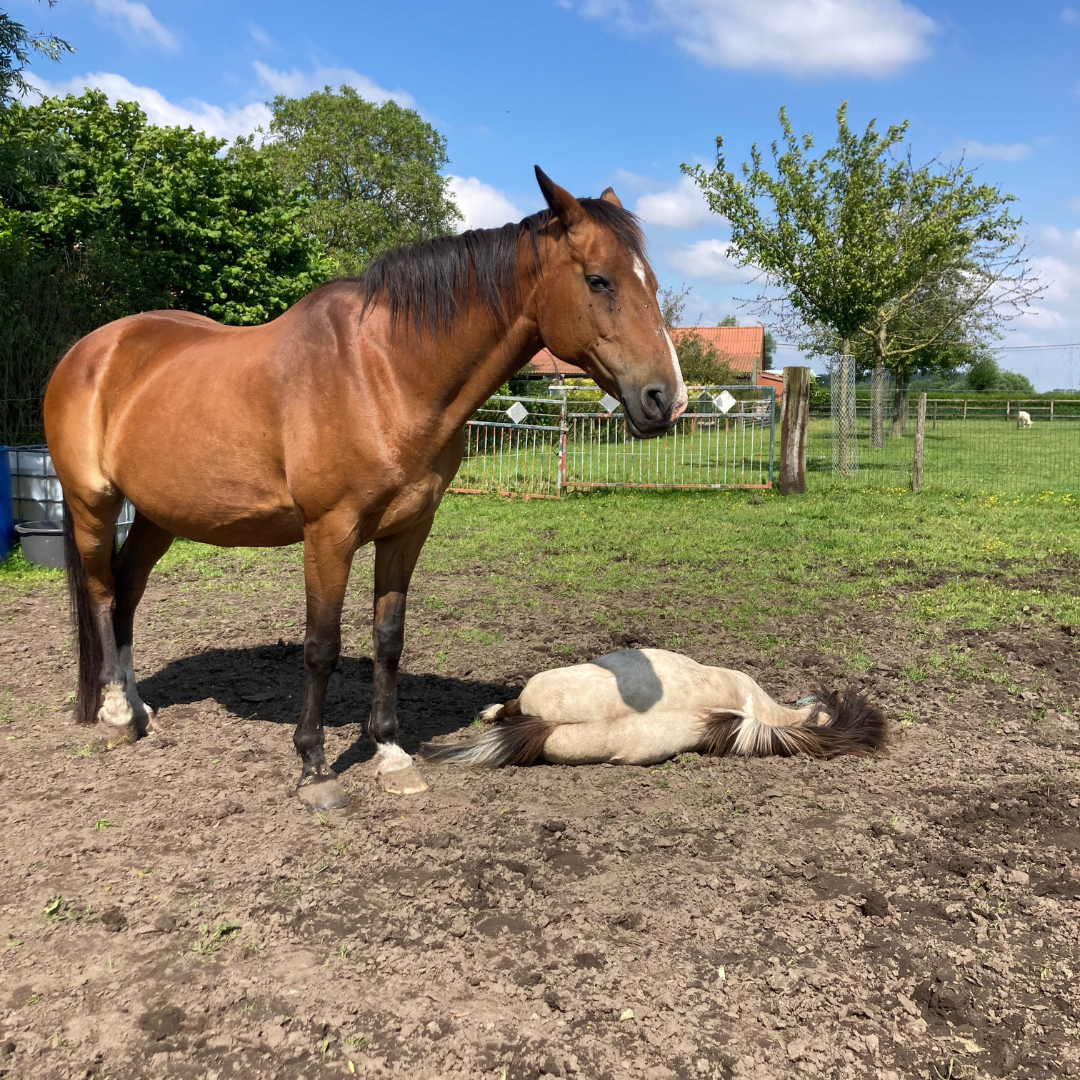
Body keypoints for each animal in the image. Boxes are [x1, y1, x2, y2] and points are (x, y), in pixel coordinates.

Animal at [43, 167, 688, 809]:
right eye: (599, 280)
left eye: (652, 283)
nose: (667, 399)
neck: (384, 373)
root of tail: (89, 351)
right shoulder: (329, 533)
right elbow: (322, 646)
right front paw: (314, 767)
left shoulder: (407, 530)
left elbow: (388, 638)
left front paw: (390, 753)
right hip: (93, 504)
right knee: (101, 591)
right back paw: (116, 714)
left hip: (158, 515)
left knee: (128, 589)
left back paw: (137, 708)